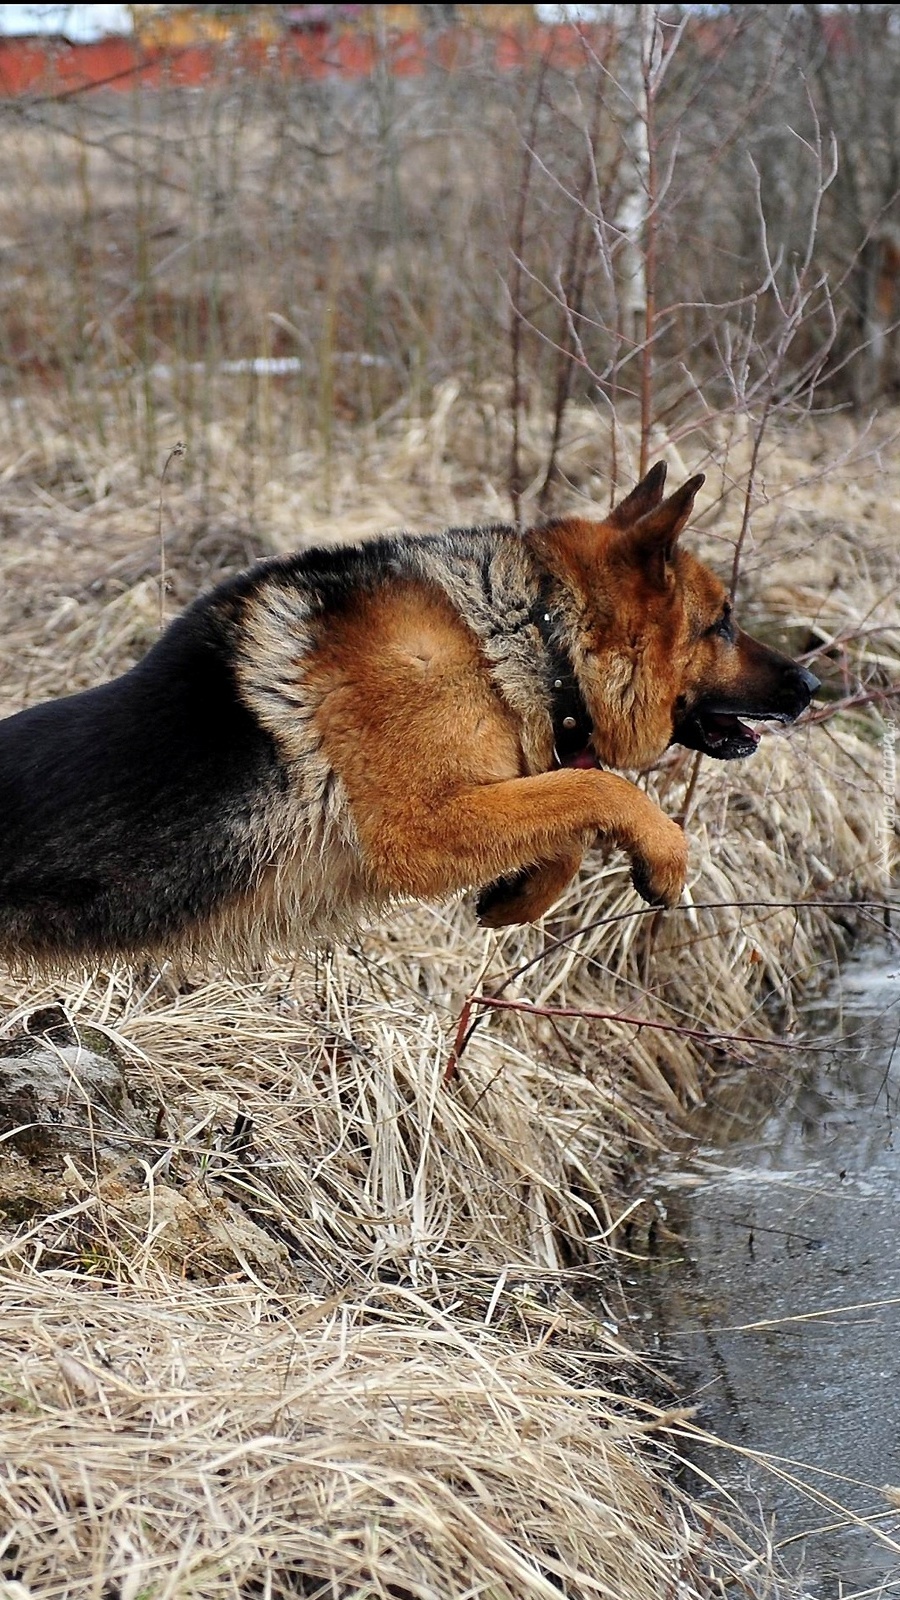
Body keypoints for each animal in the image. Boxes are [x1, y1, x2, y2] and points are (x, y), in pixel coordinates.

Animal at [0, 460, 813, 960]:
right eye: (722, 624)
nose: (811, 685)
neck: (532, 630)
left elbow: (570, 810)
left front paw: (519, 898)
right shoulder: (418, 830)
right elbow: (600, 788)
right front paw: (665, 855)